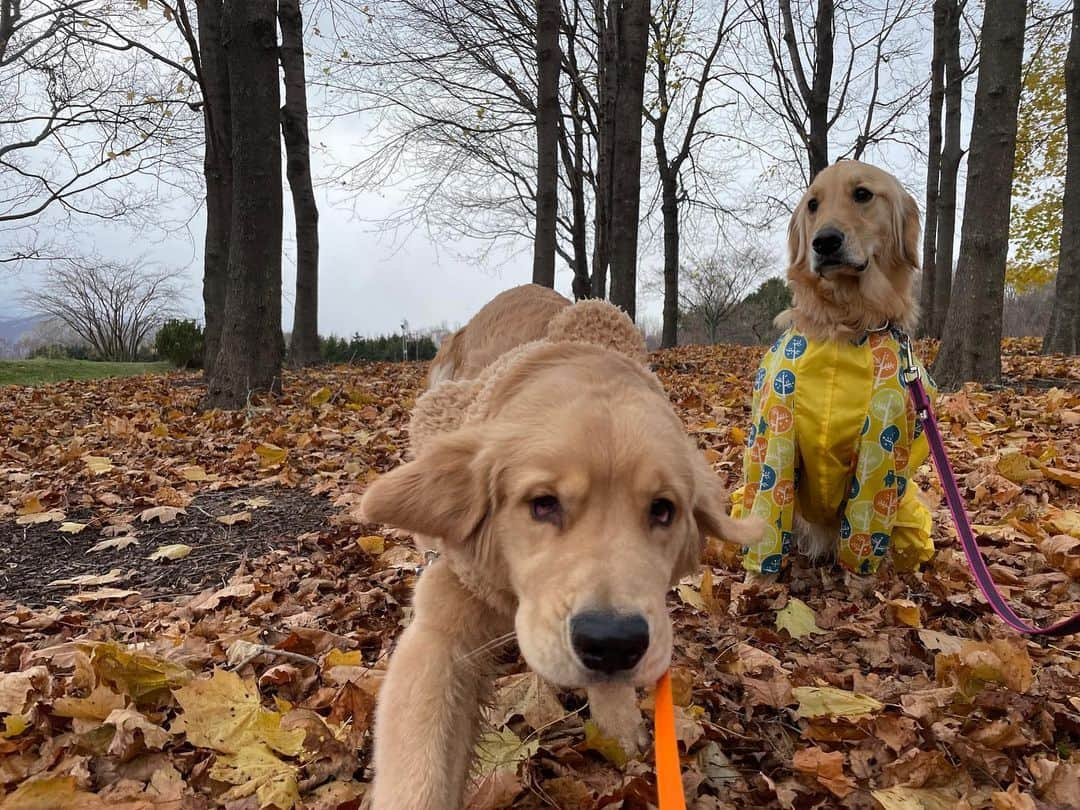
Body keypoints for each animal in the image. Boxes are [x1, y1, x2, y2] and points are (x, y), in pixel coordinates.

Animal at [360, 287, 760, 810]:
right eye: (543, 504)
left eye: (663, 510)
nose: (612, 643)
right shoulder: (442, 628)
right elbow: (419, 768)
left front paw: (619, 720)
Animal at [734, 163, 937, 583]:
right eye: (813, 204)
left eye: (862, 195)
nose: (825, 242)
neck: (845, 324)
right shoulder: (776, 436)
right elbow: (766, 516)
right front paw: (754, 584)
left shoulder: (883, 446)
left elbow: (863, 528)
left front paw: (860, 583)